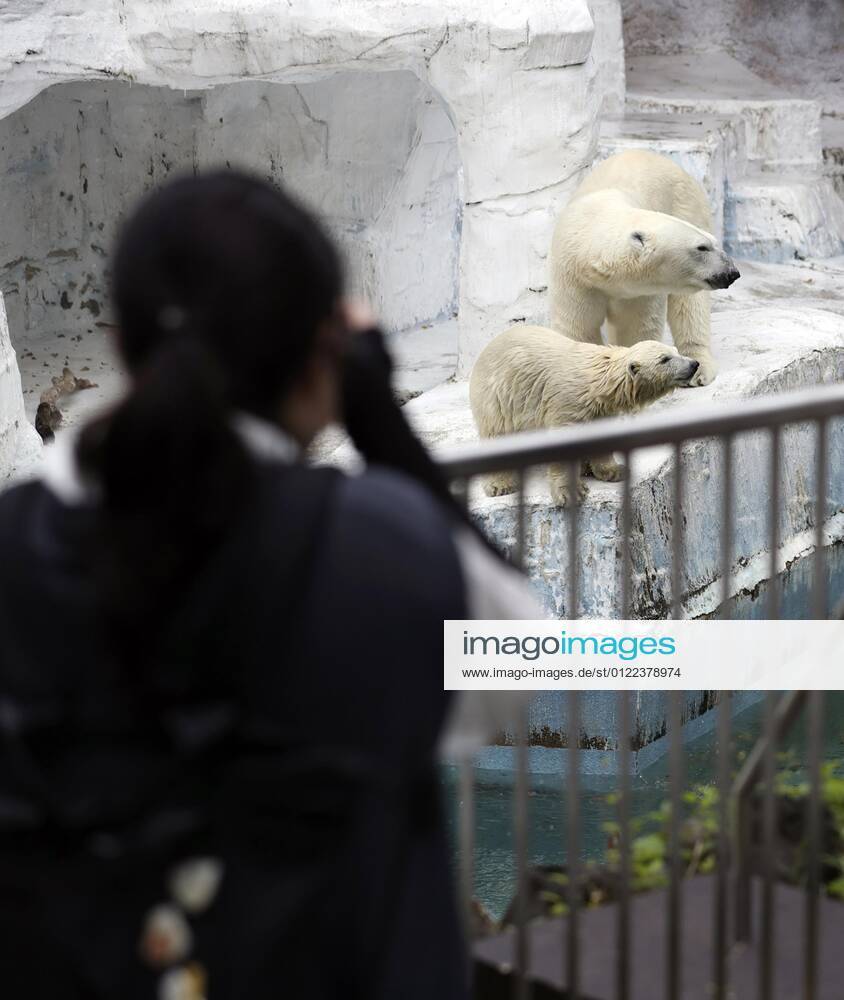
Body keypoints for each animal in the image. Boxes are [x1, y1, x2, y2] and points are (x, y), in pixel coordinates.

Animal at [468, 324, 700, 504]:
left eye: (675, 350)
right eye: (665, 359)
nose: (694, 364)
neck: (598, 384)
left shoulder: (601, 410)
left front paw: (615, 471)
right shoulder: (567, 402)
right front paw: (571, 492)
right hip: (499, 395)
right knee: (497, 433)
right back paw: (501, 484)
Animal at [548, 150, 740, 388]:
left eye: (711, 243)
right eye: (702, 247)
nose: (732, 272)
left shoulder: (640, 290)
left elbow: (634, 329)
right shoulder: (575, 278)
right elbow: (580, 329)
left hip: (687, 204)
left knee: (690, 306)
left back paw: (699, 368)